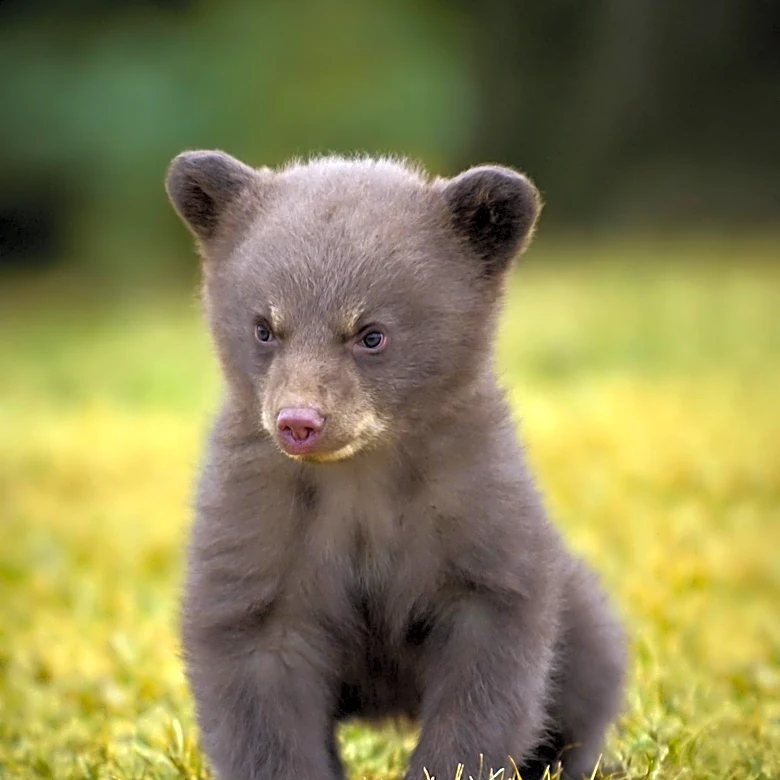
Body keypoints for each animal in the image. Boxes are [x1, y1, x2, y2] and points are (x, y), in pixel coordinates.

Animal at [165, 150, 627, 780]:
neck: (360, 473)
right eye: (264, 328)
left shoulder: (478, 513)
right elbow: (256, 673)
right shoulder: (256, 522)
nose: (299, 422)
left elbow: (490, 669)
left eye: (371, 334)